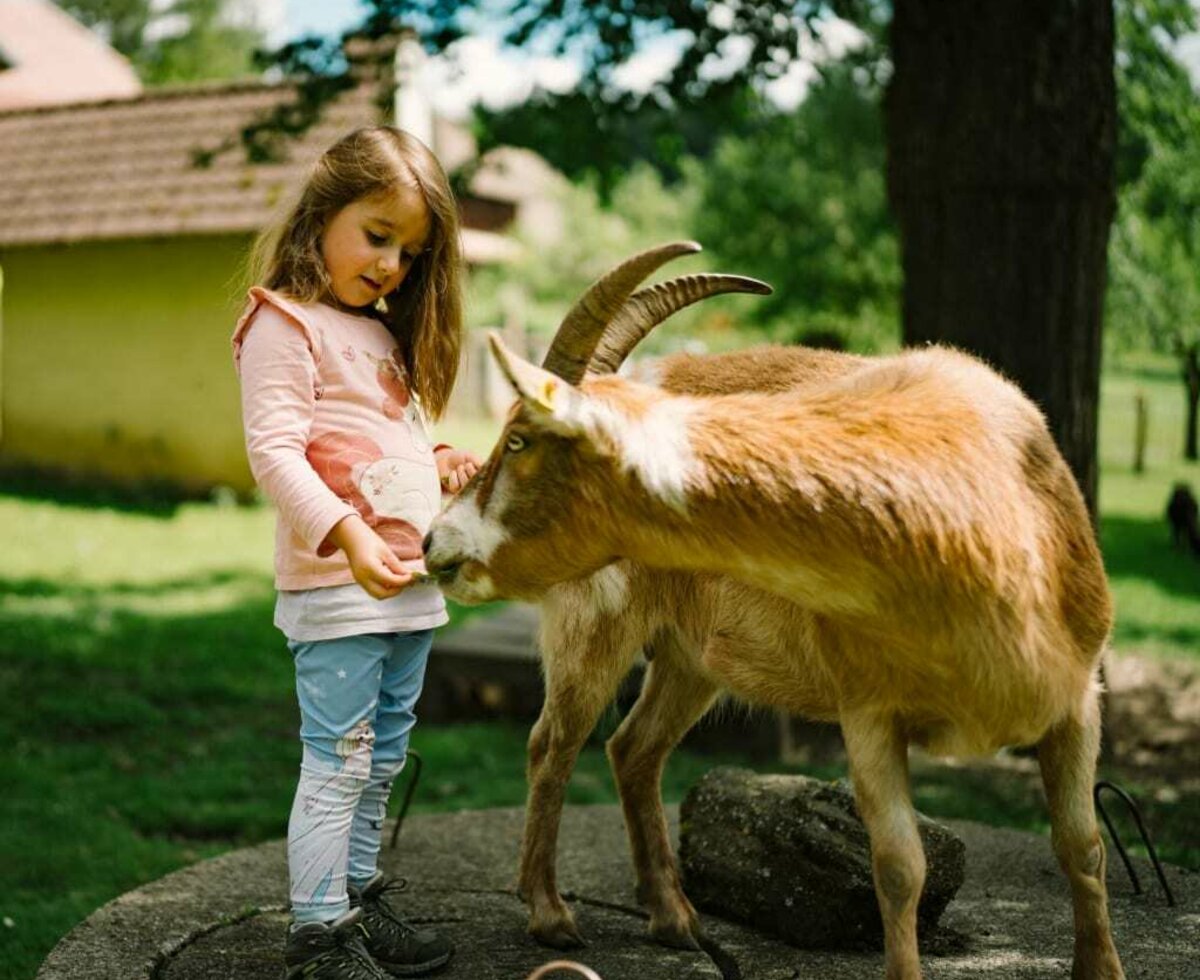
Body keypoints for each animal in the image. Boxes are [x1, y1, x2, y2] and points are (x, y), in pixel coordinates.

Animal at [422, 244, 1123, 978]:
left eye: (520, 440)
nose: (435, 541)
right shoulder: (869, 711)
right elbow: (901, 866)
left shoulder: (1078, 698)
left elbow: (1082, 845)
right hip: (594, 623)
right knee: (552, 743)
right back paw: (553, 916)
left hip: (691, 658)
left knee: (634, 747)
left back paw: (673, 919)